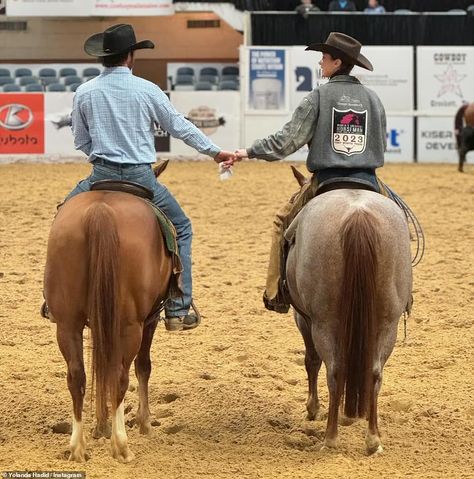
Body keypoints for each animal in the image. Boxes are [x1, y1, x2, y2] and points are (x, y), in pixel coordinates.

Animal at [43, 162, 171, 464]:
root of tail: (100, 211)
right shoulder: (149, 318)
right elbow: (143, 366)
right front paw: (144, 423)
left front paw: (100, 426)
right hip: (131, 325)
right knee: (120, 374)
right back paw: (121, 445)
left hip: (67, 323)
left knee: (77, 375)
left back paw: (77, 447)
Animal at [286, 171, 412, 456]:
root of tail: (358, 215)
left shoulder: (304, 320)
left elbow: (311, 361)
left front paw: (312, 409)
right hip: (387, 323)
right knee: (374, 372)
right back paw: (373, 439)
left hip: (324, 322)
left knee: (334, 370)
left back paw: (330, 438)